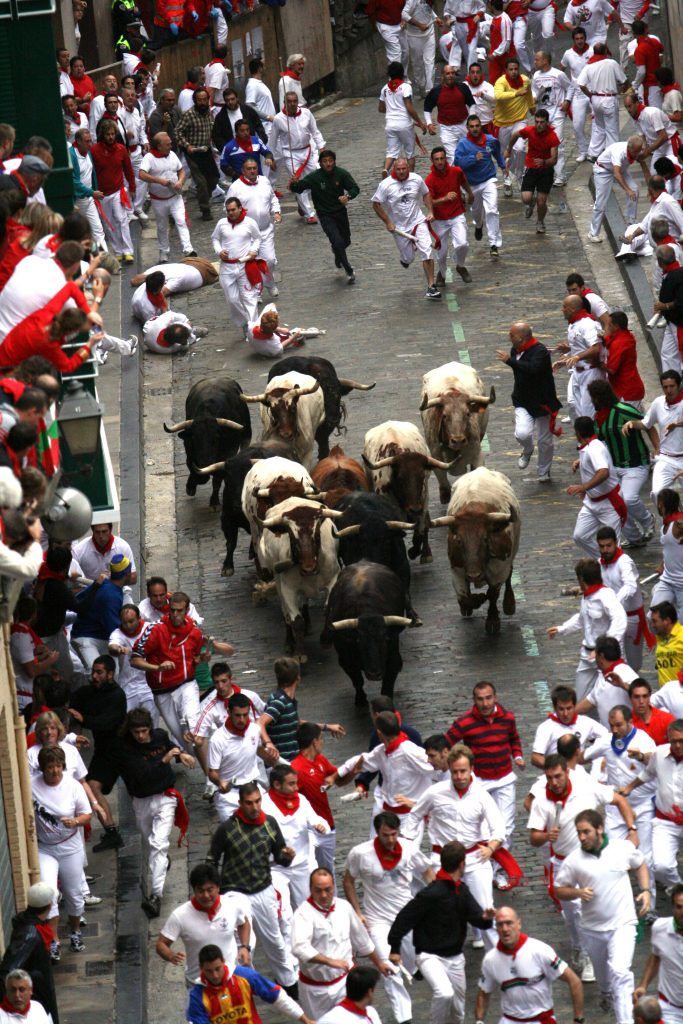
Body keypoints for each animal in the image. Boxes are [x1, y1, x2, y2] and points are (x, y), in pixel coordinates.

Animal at [255, 497, 342, 663]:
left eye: (317, 534)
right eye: (291, 535)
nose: (309, 567)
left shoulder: (333, 580)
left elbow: (328, 609)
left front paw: (325, 639)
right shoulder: (288, 590)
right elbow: (296, 620)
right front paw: (299, 652)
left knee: (304, 602)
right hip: (278, 581)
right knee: (286, 614)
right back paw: (290, 642)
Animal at [419, 360, 493, 503]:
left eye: (468, 413)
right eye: (444, 416)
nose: (458, 440)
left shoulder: (477, 455)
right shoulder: (435, 457)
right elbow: (444, 485)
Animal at [432, 468, 524, 630]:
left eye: (485, 539)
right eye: (459, 541)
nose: (474, 575)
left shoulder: (499, 569)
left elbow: (493, 594)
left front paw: (492, 619)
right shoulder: (456, 569)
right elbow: (465, 598)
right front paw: (473, 601)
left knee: (509, 576)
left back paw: (509, 604)